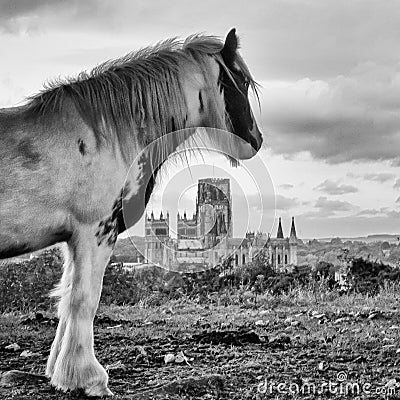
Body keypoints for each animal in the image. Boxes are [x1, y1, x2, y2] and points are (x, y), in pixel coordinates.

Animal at [0, 28, 262, 396]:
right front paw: (89, 378)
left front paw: (59, 372)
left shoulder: (74, 239)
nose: (257, 139)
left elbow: (66, 299)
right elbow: (84, 300)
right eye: (242, 80)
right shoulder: (95, 231)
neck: (103, 136)